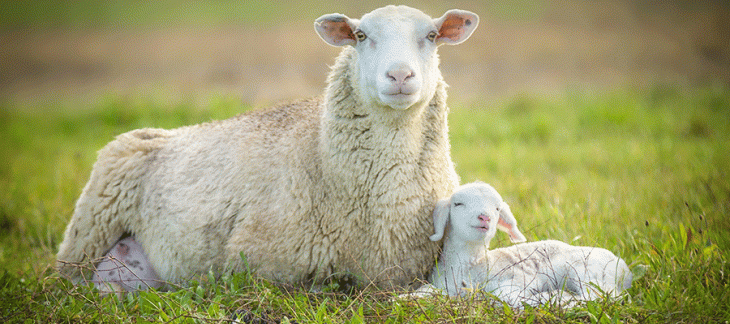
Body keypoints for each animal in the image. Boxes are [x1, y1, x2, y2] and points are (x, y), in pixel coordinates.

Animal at [424, 184, 628, 308]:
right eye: (457, 204)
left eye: (497, 209)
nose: (484, 217)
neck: (473, 264)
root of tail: (625, 270)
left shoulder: (518, 278)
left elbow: (506, 295)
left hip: (588, 271)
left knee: (601, 297)